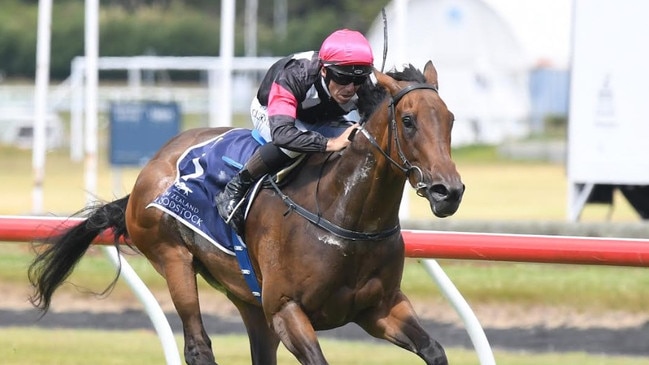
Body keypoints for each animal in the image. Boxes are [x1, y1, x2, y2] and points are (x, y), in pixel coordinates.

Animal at [29, 61, 460, 362]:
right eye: (408, 121)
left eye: (450, 119)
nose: (449, 191)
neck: (345, 215)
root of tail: (148, 170)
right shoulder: (287, 310)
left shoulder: (380, 308)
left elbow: (435, 350)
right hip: (173, 257)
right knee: (198, 346)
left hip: (247, 297)